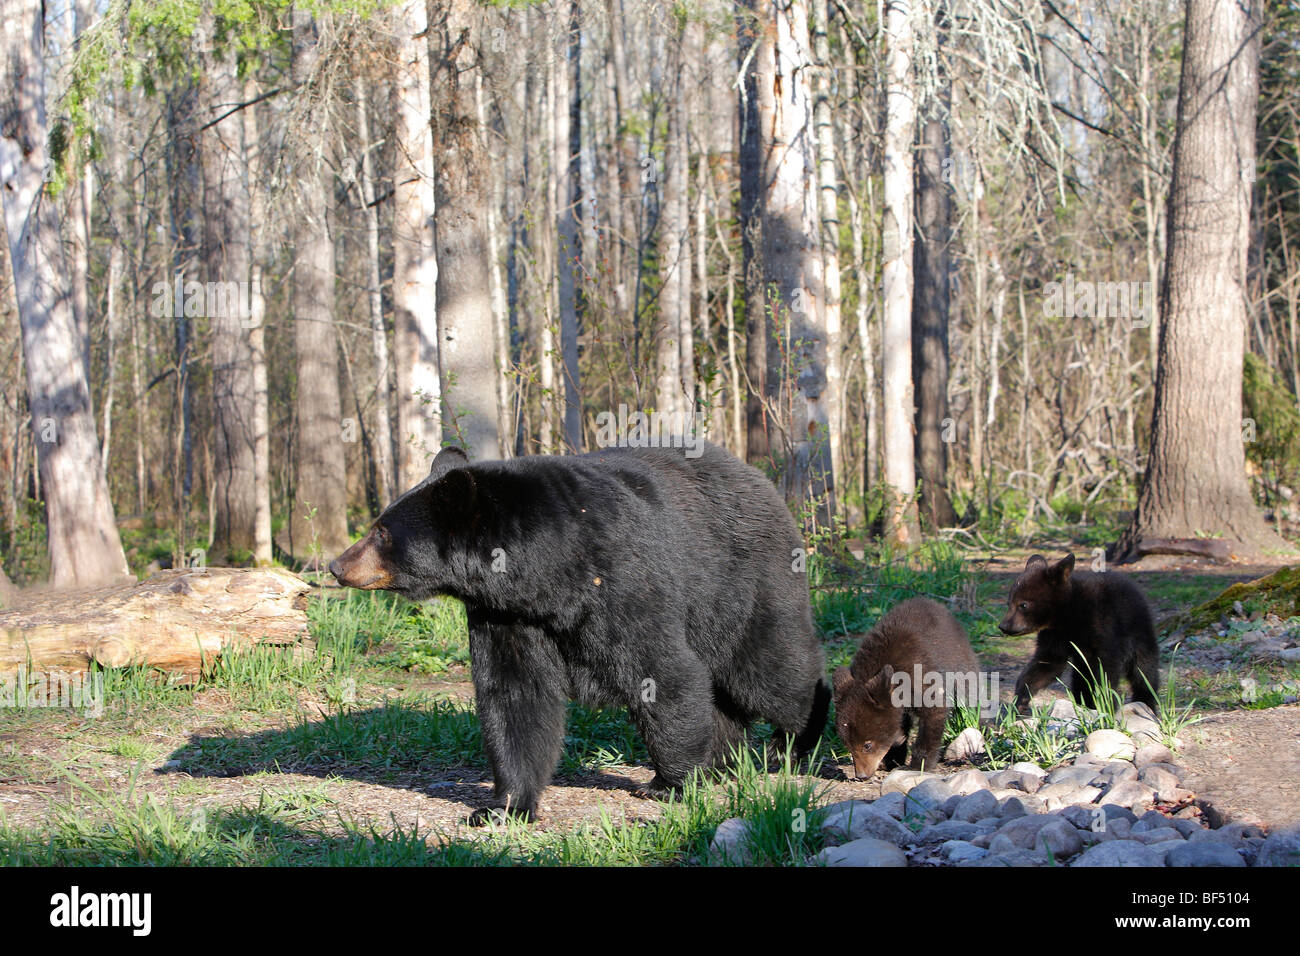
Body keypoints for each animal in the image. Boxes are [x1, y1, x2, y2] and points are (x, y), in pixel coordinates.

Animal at [330, 442, 826, 822]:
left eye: (381, 532)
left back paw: (794, 741)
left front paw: (668, 782)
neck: (546, 574)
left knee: (770, 667)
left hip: (741, 580)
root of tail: (761, 479)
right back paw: (725, 760)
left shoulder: (622, 578)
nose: (336, 565)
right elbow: (515, 695)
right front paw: (502, 806)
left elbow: (662, 673)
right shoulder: (506, 615)